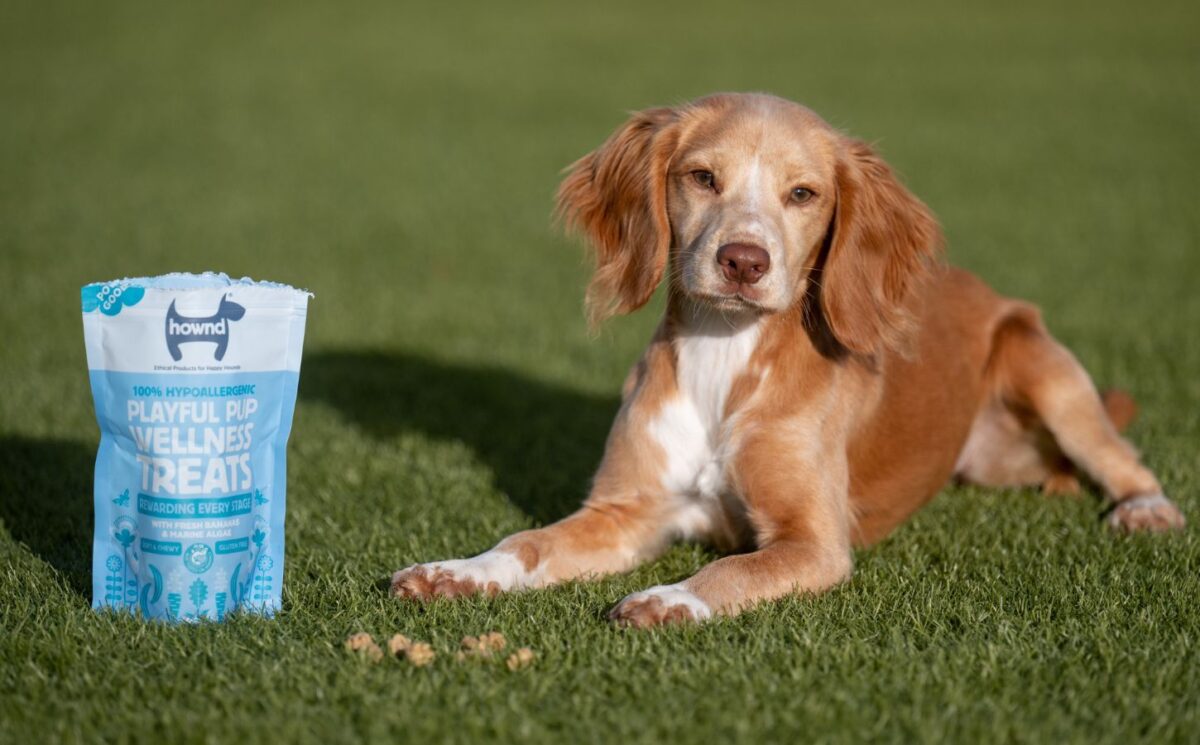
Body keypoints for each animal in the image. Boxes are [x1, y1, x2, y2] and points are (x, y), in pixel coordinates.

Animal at [391, 94, 1180, 628]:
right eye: (702, 177)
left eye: (803, 193)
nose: (743, 260)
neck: (724, 356)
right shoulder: (625, 511)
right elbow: (526, 541)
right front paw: (457, 570)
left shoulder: (812, 541)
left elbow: (730, 568)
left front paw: (668, 596)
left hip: (1049, 372)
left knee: (1121, 455)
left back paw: (1146, 509)